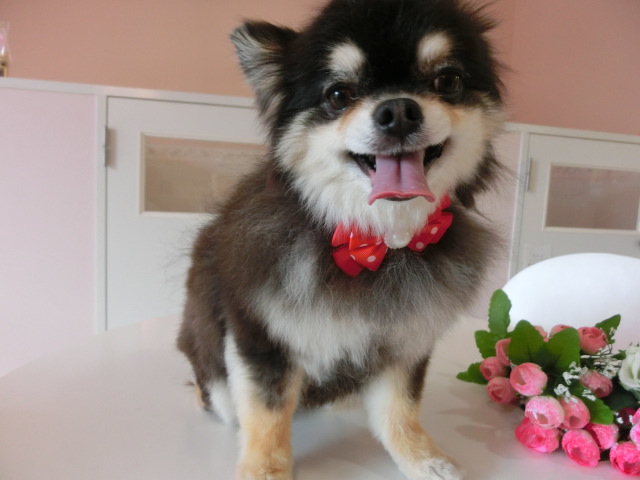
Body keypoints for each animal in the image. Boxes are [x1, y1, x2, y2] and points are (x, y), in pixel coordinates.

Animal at [177, 0, 504, 478]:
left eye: (448, 81)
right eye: (338, 95)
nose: (398, 111)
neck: (379, 239)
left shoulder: (405, 337)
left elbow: (400, 409)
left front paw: (420, 457)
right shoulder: (259, 333)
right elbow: (266, 413)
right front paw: (265, 469)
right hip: (211, 366)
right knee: (220, 396)